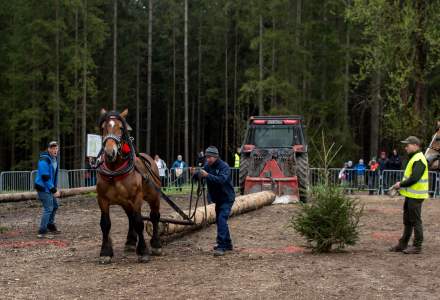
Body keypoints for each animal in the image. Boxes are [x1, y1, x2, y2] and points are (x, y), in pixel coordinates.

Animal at [95, 108, 162, 262]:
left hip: (153, 196)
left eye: (121, 128)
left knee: (154, 216)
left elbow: (139, 222)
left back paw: (156, 244)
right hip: (125, 202)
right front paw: (105, 252)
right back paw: (130, 241)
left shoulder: (136, 198)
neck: (114, 171)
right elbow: (105, 224)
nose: (110, 152)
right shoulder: (102, 200)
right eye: (103, 128)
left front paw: (143, 251)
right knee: (130, 217)